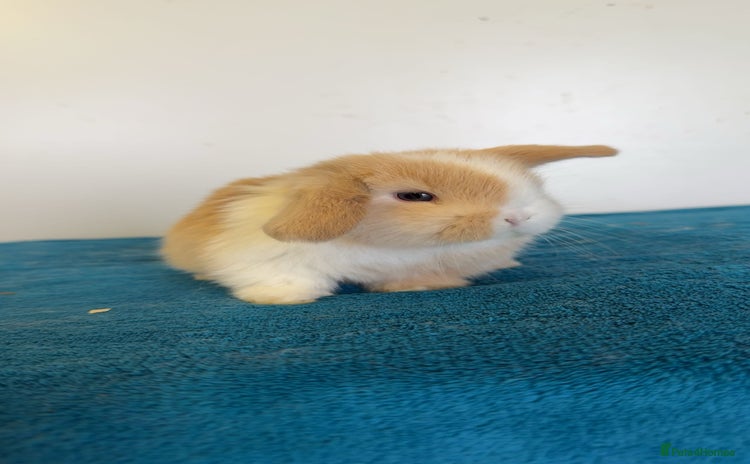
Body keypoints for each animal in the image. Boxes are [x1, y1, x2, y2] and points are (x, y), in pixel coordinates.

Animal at [161, 144, 617, 304]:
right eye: (415, 197)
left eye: (532, 186)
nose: (518, 216)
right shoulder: (273, 260)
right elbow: (284, 278)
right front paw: (280, 299)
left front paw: (420, 286)